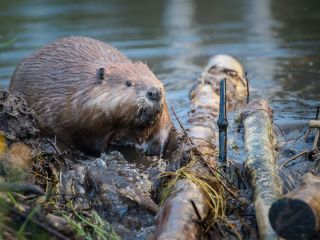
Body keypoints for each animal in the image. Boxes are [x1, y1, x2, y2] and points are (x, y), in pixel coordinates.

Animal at [9, 35, 172, 156]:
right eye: (128, 83)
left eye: (153, 76)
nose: (155, 92)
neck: (82, 90)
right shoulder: (86, 119)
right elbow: (92, 143)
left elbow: (162, 133)